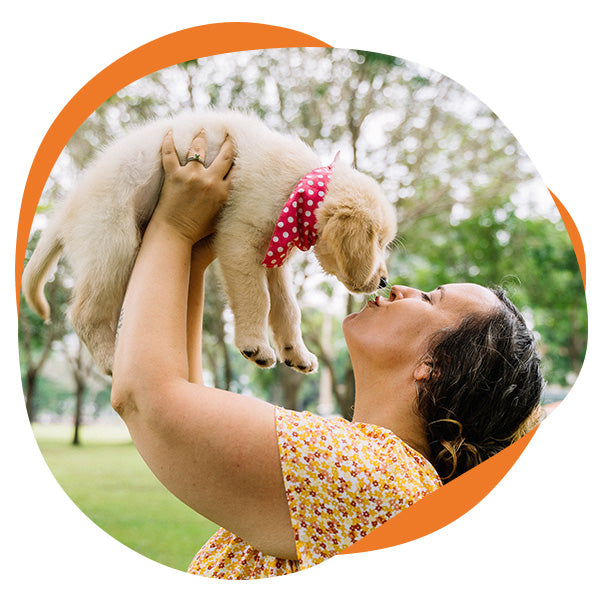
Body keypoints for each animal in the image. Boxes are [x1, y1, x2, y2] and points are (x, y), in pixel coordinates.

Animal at [22, 109, 398, 376]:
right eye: (377, 241)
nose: (383, 281)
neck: (296, 186)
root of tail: (67, 208)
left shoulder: (273, 254)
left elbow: (288, 308)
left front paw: (297, 353)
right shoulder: (239, 239)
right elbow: (258, 299)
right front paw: (255, 345)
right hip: (113, 244)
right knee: (86, 314)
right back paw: (112, 360)